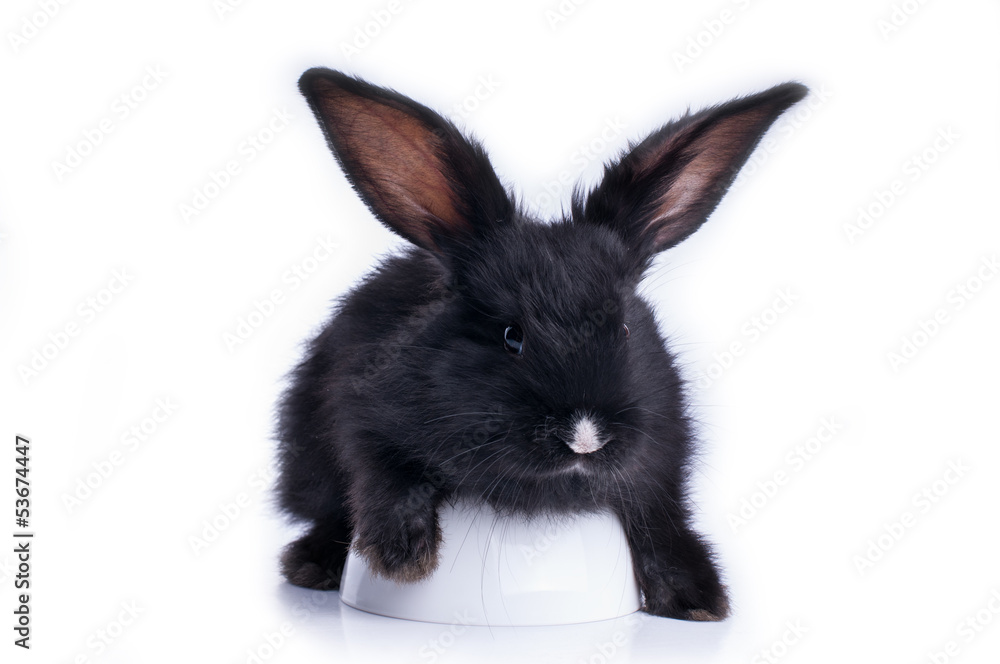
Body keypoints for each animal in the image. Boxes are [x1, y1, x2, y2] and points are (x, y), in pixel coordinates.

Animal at [276, 68, 807, 621]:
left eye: (624, 329)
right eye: (512, 336)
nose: (584, 437)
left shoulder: (664, 458)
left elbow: (660, 514)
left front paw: (696, 598)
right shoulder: (363, 416)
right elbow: (384, 475)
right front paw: (402, 557)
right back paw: (312, 565)